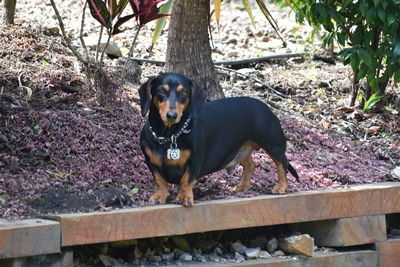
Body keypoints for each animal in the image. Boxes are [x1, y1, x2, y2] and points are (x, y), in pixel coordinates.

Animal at [139, 73, 298, 207]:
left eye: (183, 93)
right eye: (161, 92)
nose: (171, 115)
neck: (169, 135)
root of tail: (265, 106)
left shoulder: (195, 161)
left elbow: (186, 180)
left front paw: (184, 197)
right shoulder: (151, 162)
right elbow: (160, 180)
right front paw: (159, 196)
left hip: (273, 145)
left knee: (282, 164)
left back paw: (281, 187)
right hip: (239, 149)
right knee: (251, 165)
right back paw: (242, 186)